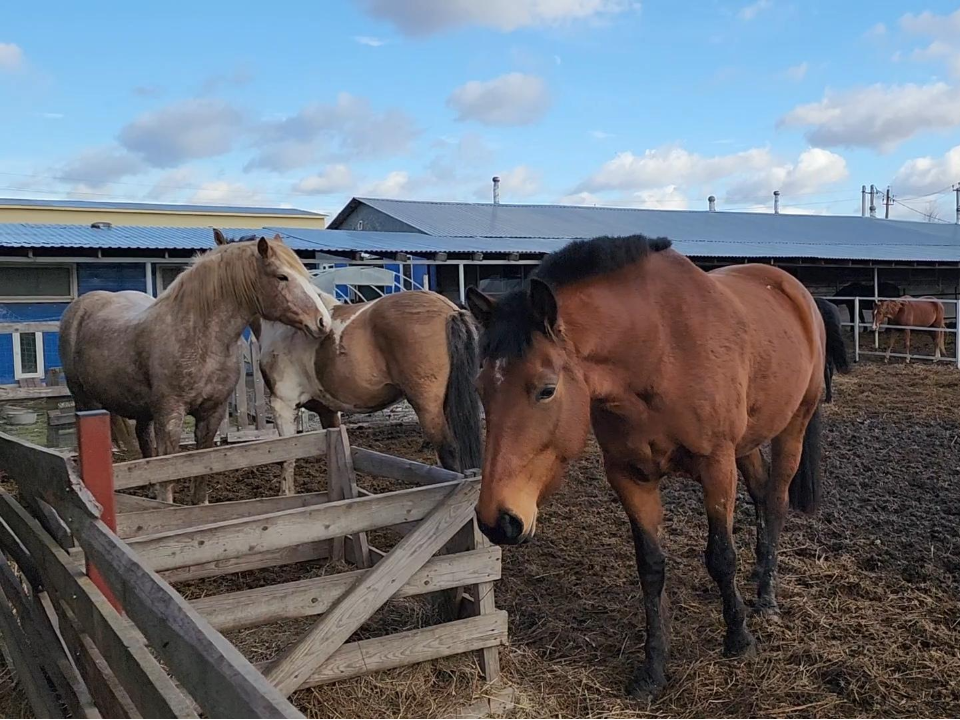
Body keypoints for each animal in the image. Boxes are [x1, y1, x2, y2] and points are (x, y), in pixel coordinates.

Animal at [61, 235, 330, 500]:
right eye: (281, 276)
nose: (322, 321)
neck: (198, 338)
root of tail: (82, 305)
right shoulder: (170, 415)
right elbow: (167, 471)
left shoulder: (212, 413)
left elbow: (202, 467)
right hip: (86, 401)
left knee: (143, 438)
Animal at [466, 236, 848, 704]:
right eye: (481, 388)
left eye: (547, 389)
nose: (497, 519)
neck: (659, 350)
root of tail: (798, 292)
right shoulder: (631, 476)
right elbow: (650, 568)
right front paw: (653, 669)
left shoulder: (716, 466)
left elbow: (721, 556)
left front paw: (739, 640)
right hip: (748, 442)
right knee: (760, 495)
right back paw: (759, 575)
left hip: (792, 425)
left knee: (774, 502)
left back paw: (767, 600)